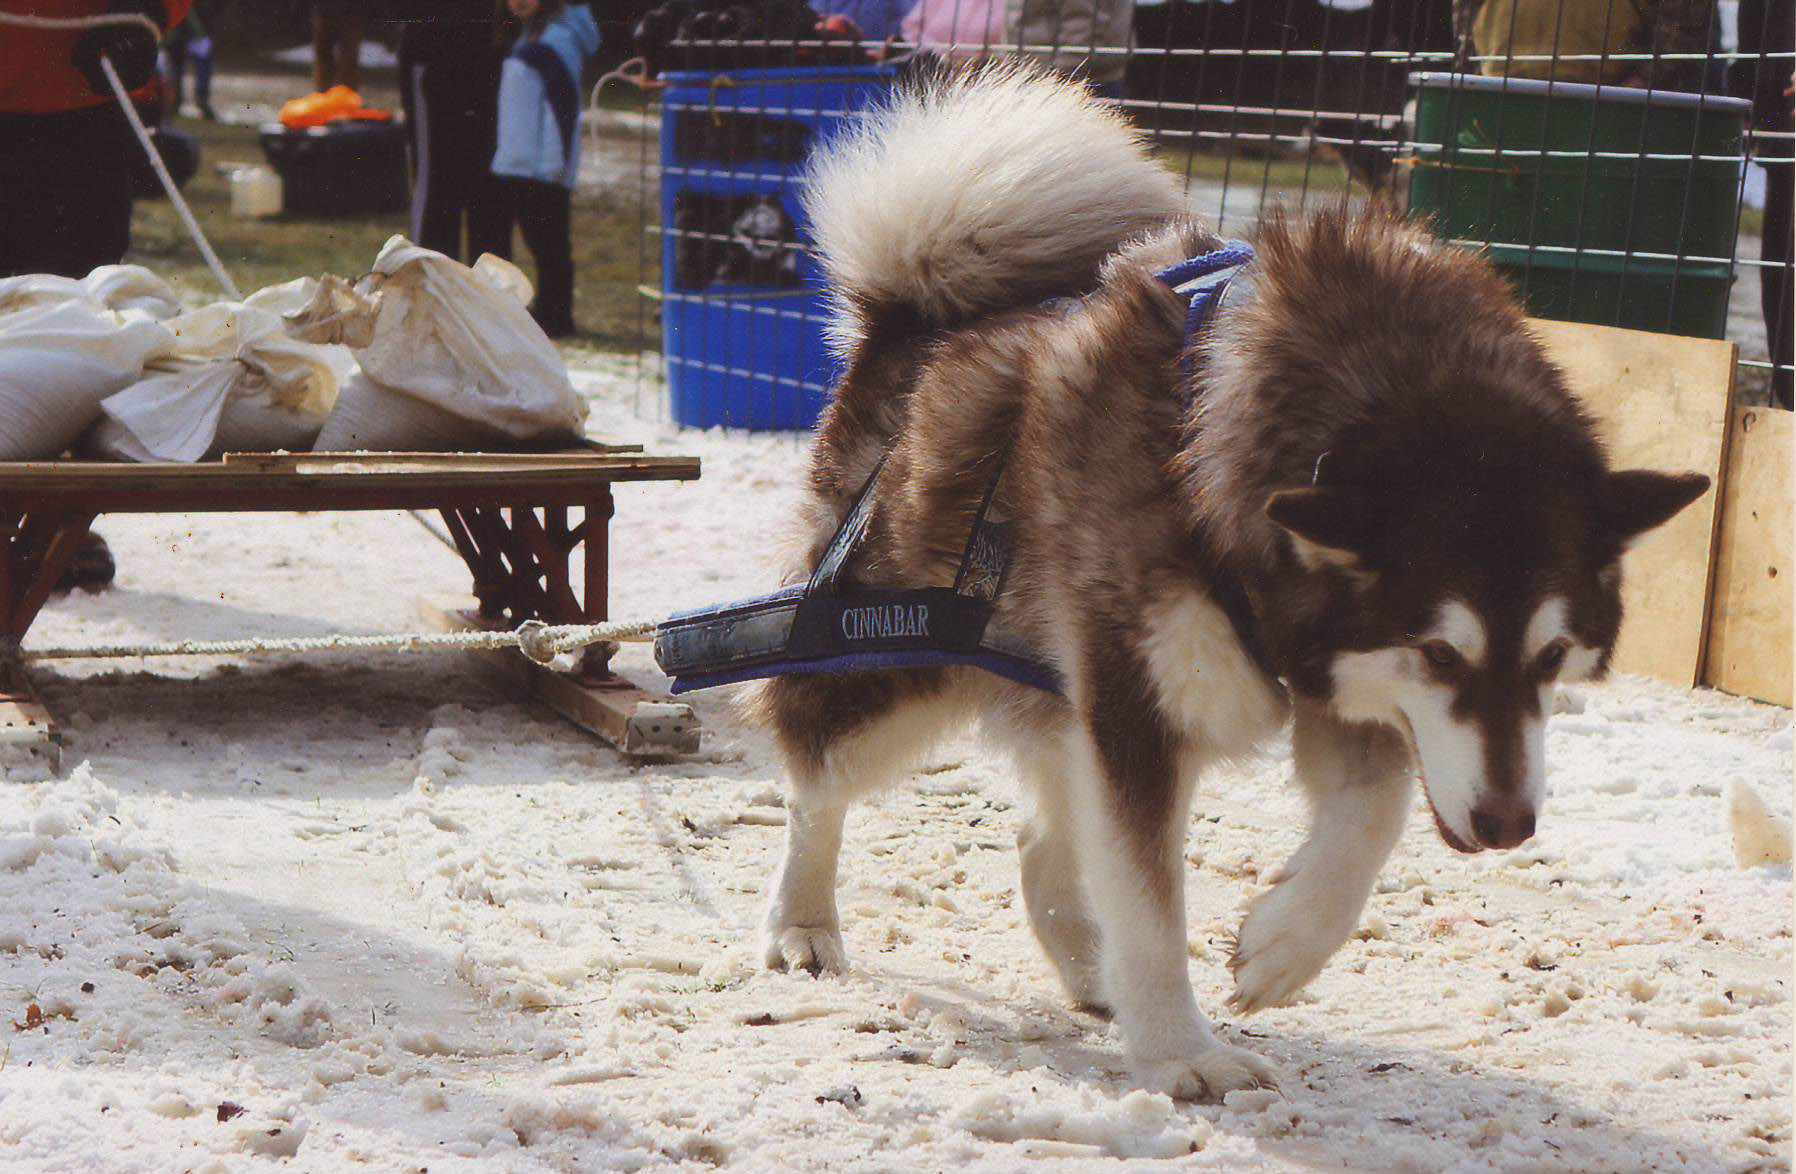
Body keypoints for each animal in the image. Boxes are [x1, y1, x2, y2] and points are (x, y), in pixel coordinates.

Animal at [747, 64, 1709, 1098]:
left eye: (1554, 654)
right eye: (1444, 653)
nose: (1508, 824)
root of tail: (913, 318)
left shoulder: (1333, 674)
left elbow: (1375, 811)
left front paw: (1286, 946)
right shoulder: (1149, 703)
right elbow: (1149, 900)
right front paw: (1180, 1050)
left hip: (1060, 682)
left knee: (1043, 839)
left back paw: (1090, 971)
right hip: (898, 665)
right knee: (817, 776)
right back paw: (804, 922)